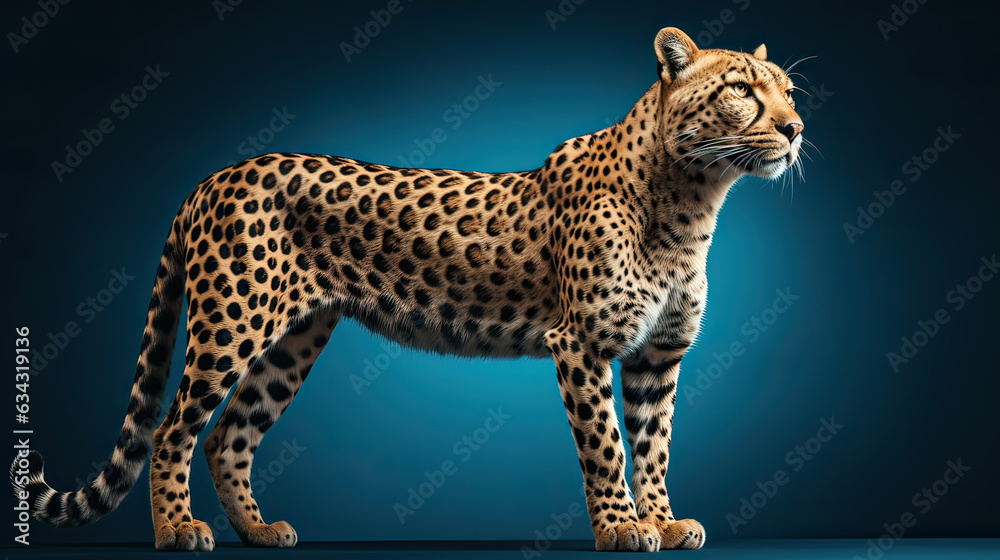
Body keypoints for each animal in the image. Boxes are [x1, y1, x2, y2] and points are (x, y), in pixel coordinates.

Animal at [11, 27, 805, 552]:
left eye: (789, 91)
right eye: (741, 91)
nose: (797, 127)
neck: (694, 200)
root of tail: (215, 175)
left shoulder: (655, 358)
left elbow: (654, 443)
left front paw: (662, 519)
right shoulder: (580, 344)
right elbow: (607, 444)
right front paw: (620, 528)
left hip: (293, 340)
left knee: (230, 434)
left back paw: (259, 530)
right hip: (230, 324)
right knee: (175, 427)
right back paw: (178, 529)